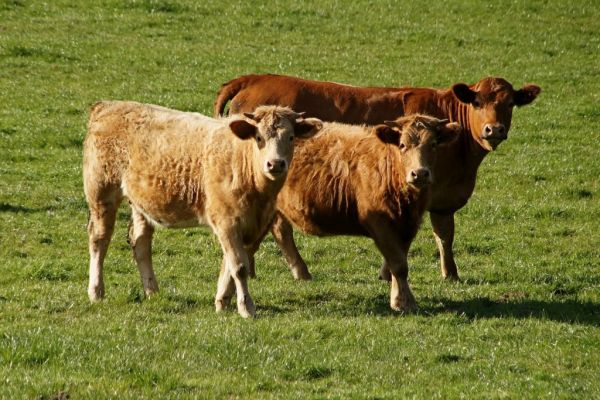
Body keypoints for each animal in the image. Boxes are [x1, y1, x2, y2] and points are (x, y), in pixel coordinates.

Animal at [83, 101, 324, 318]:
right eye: (259, 138)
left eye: (291, 137)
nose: (275, 164)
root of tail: (107, 106)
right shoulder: (226, 221)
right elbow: (239, 267)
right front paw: (246, 307)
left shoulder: (251, 225)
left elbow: (231, 265)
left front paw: (222, 301)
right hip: (101, 193)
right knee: (99, 239)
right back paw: (96, 291)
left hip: (140, 203)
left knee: (140, 241)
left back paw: (152, 291)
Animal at [214, 76, 540, 282]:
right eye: (477, 102)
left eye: (510, 103)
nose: (493, 129)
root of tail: (253, 78)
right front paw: (393, 273)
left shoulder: (441, 199)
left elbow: (444, 235)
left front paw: (450, 273)